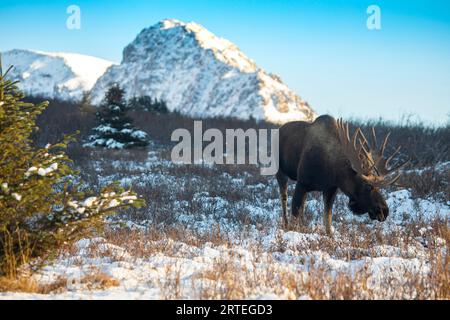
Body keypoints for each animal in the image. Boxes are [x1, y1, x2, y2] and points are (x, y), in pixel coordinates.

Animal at [278, 114, 408, 234]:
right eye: (368, 186)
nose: (384, 211)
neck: (332, 170)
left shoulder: (331, 189)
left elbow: (328, 221)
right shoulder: (302, 183)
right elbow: (295, 214)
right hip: (280, 172)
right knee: (284, 199)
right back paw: (285, 224)